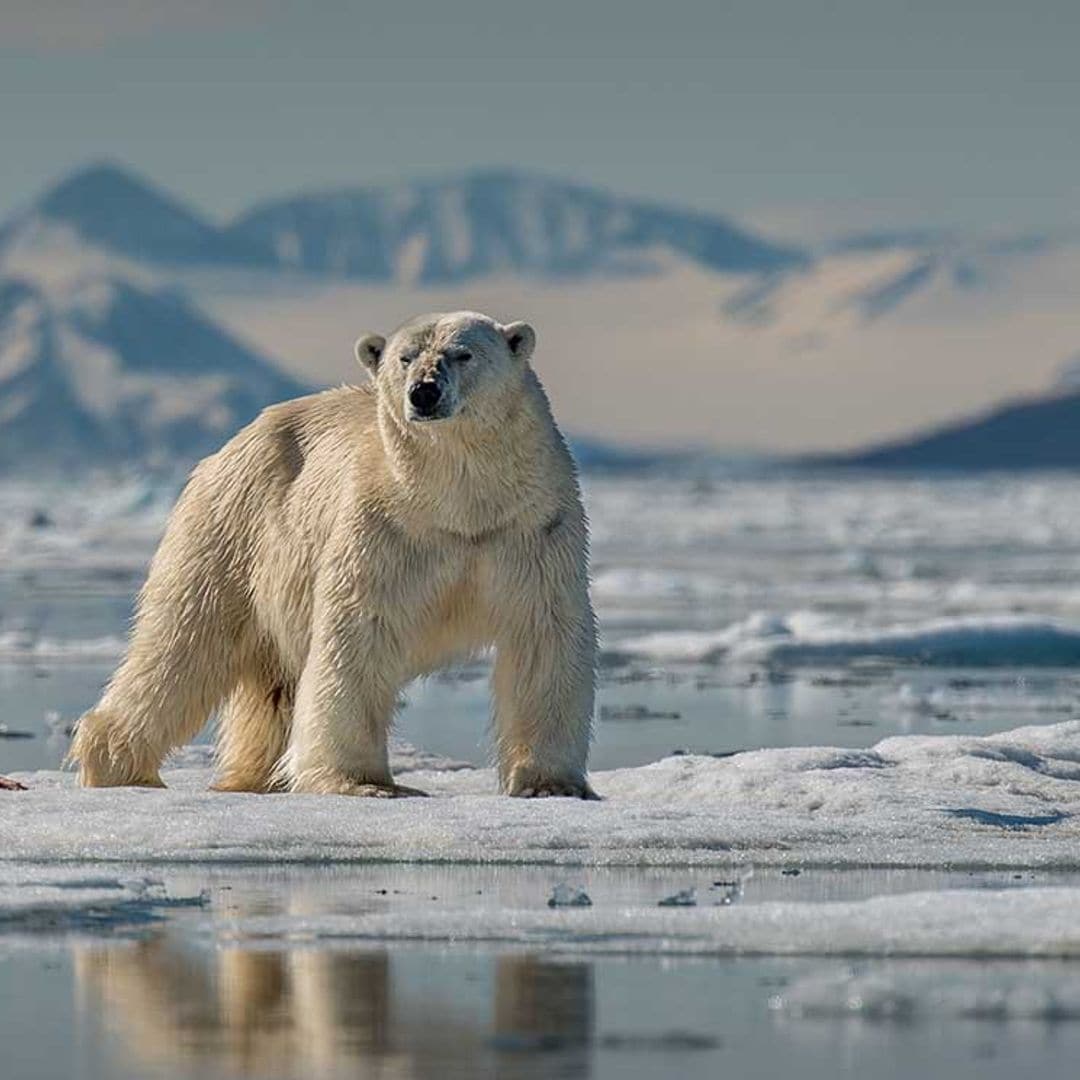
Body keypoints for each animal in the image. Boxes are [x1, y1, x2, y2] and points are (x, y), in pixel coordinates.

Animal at [73, 308, 600, 799]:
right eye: (405, 357)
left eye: (462, 353)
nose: (424, 392)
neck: (459, 504)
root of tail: (231, 445)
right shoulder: (386, 529)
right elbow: (359, 635)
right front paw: (363, 782)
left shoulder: (532, 529)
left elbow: (543, 636)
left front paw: (551, 784)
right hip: (236, 528)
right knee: (184, 641)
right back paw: (119, 765)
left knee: (267, 683)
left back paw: (256, 775)